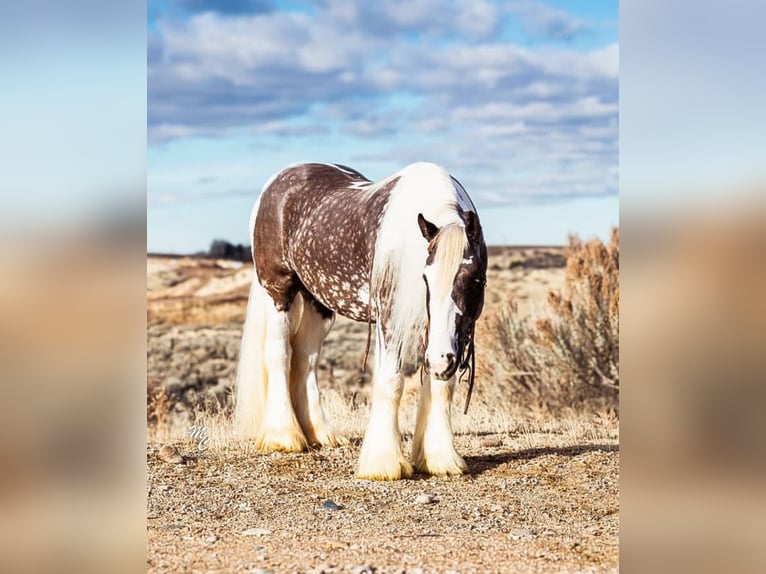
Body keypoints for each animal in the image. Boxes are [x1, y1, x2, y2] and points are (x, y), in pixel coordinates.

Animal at [236, 162, 486, 482]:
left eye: (475, 279)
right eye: (426, 278)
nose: (442, 359)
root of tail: (277, 182)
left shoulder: (451, 334)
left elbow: (442, 385)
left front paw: (440, 459)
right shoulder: (389, 317)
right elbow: (390, 382)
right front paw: (384, 464)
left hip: (319, 303)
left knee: (306, 360)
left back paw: (320, 434)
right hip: (279, 292)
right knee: (280, 354)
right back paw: (285, 437)